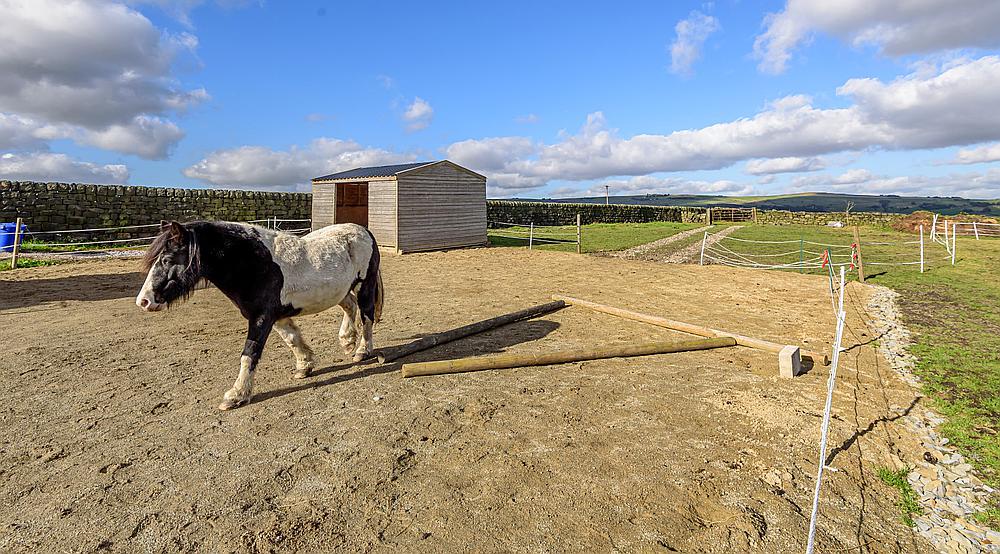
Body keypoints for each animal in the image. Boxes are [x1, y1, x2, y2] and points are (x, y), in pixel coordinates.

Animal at [134, 221, 382, 410]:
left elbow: (249, 353)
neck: (254, 263)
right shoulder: (276, 315)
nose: (143, 301)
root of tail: (365, 231)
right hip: (341, 291)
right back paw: (347, 340)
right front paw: (305, 366)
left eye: (167, 260)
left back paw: (362, 350)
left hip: (365, 286)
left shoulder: (262, 318)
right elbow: (292, 339)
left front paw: (236, 395)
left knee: (367, 316)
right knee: (350, 306)